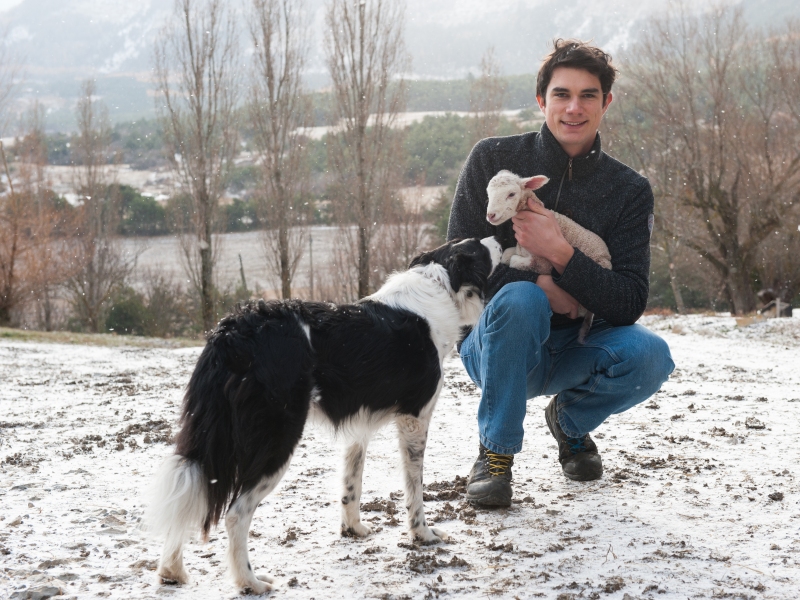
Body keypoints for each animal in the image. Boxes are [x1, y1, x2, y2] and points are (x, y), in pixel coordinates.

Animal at [488, 169, 612, 342]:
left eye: (511, 194)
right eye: (488, 193)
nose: (490, 215)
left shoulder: (541, 263)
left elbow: (513, 260)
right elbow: (507, 254)